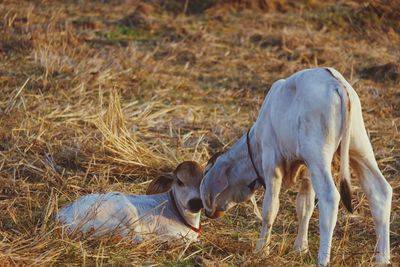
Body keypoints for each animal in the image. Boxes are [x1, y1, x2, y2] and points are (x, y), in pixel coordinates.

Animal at [199, 67, 390, 266]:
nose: (208, 212)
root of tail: (336, 83)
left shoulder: (272, 164)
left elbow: (270, 209)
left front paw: (262, 250)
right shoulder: (307, 171)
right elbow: (304, 206)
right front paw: (300, 248)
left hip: (319, 156)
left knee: (330, 198)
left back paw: (323, 259)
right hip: (357, 148)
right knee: (380, 192)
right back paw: (382, 258)